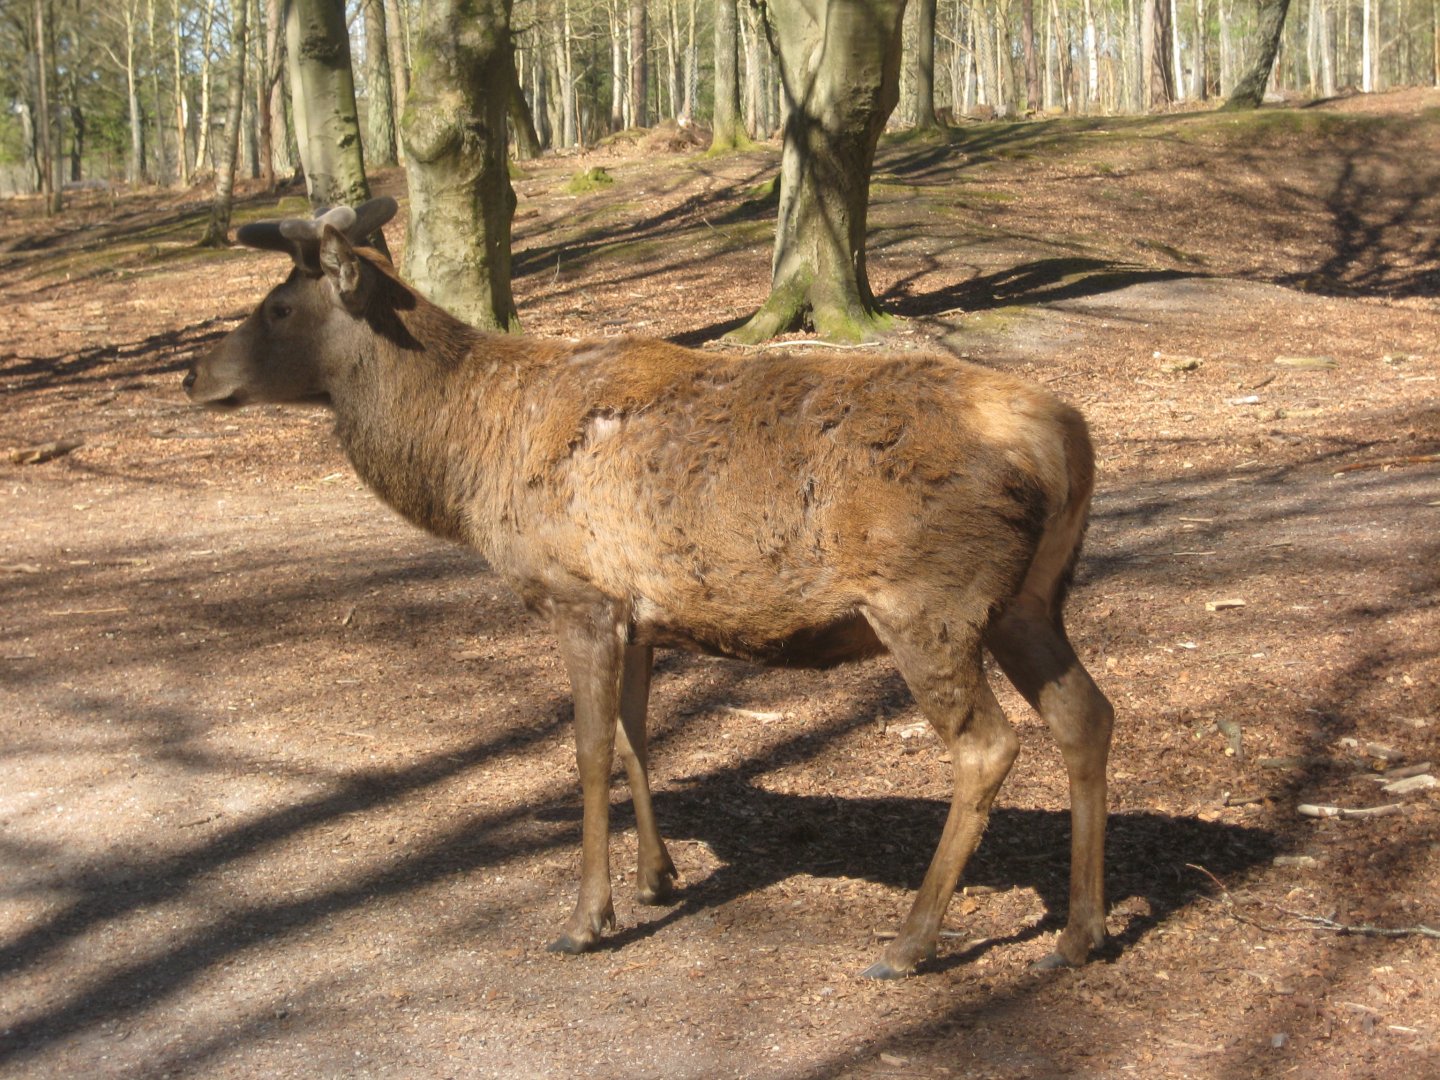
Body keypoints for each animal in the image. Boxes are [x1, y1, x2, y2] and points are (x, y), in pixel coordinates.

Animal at [183, 197, 1115, 978]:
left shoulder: (580, 597)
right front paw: (657, 878)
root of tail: (1070, 438)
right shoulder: (641, 614)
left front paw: (587, 917)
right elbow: (638, 739)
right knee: (1086, 715)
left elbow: (591, 750)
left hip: (929, 603)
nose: (193, 375)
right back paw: (1078, 934)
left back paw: (911, 941)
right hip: (1028, 602)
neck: (468, 462)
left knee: (988, 746)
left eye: (276, 307)